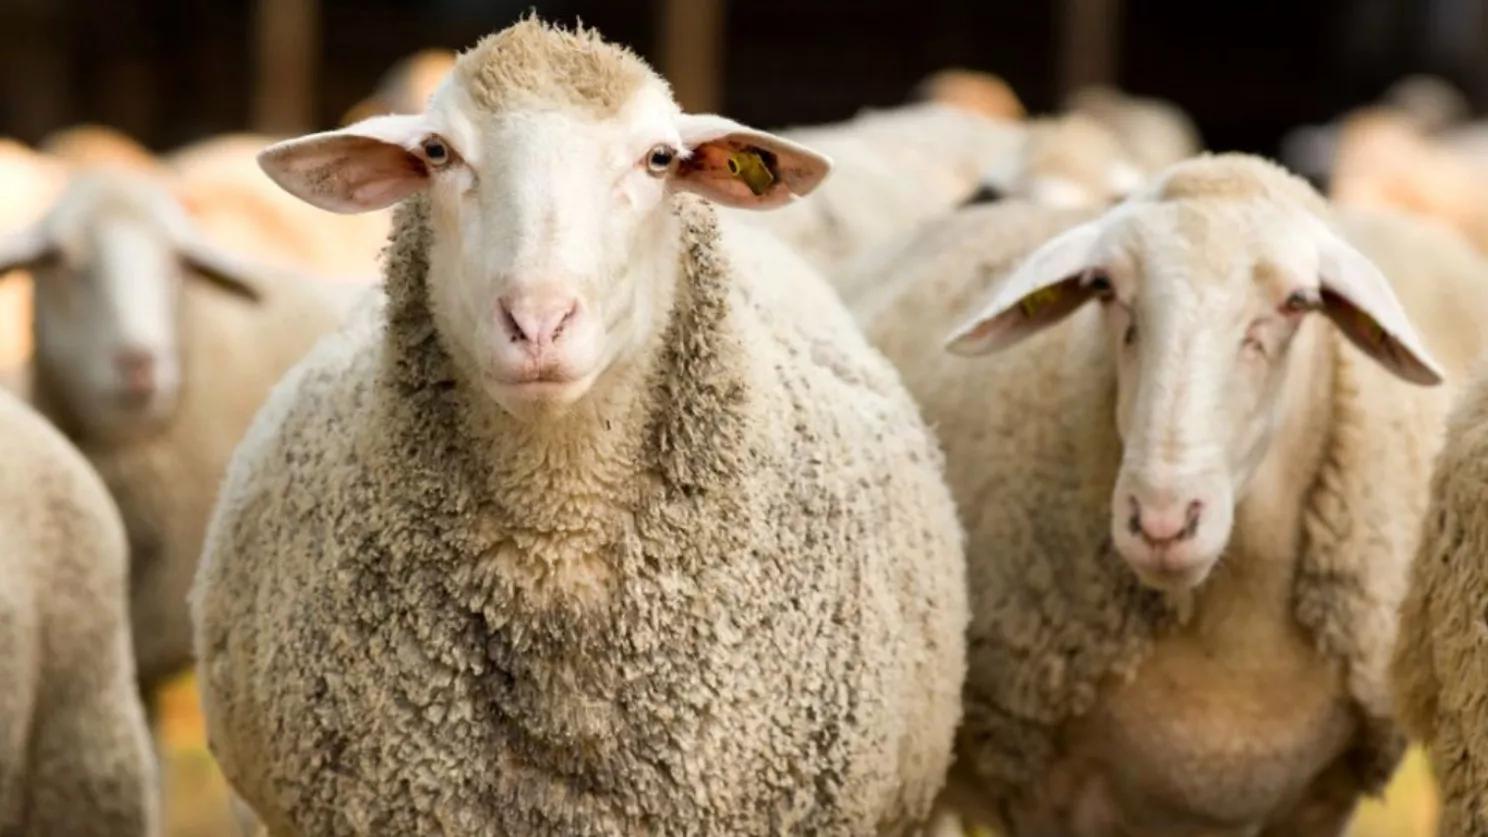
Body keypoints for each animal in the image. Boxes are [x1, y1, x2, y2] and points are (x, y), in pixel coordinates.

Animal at [859, 154, 1488, 835]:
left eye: (1297, 302)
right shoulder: (1046, 789)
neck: (1233, 653)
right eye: (1103, 288)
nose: (1162, 521)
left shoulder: (1320, 801)